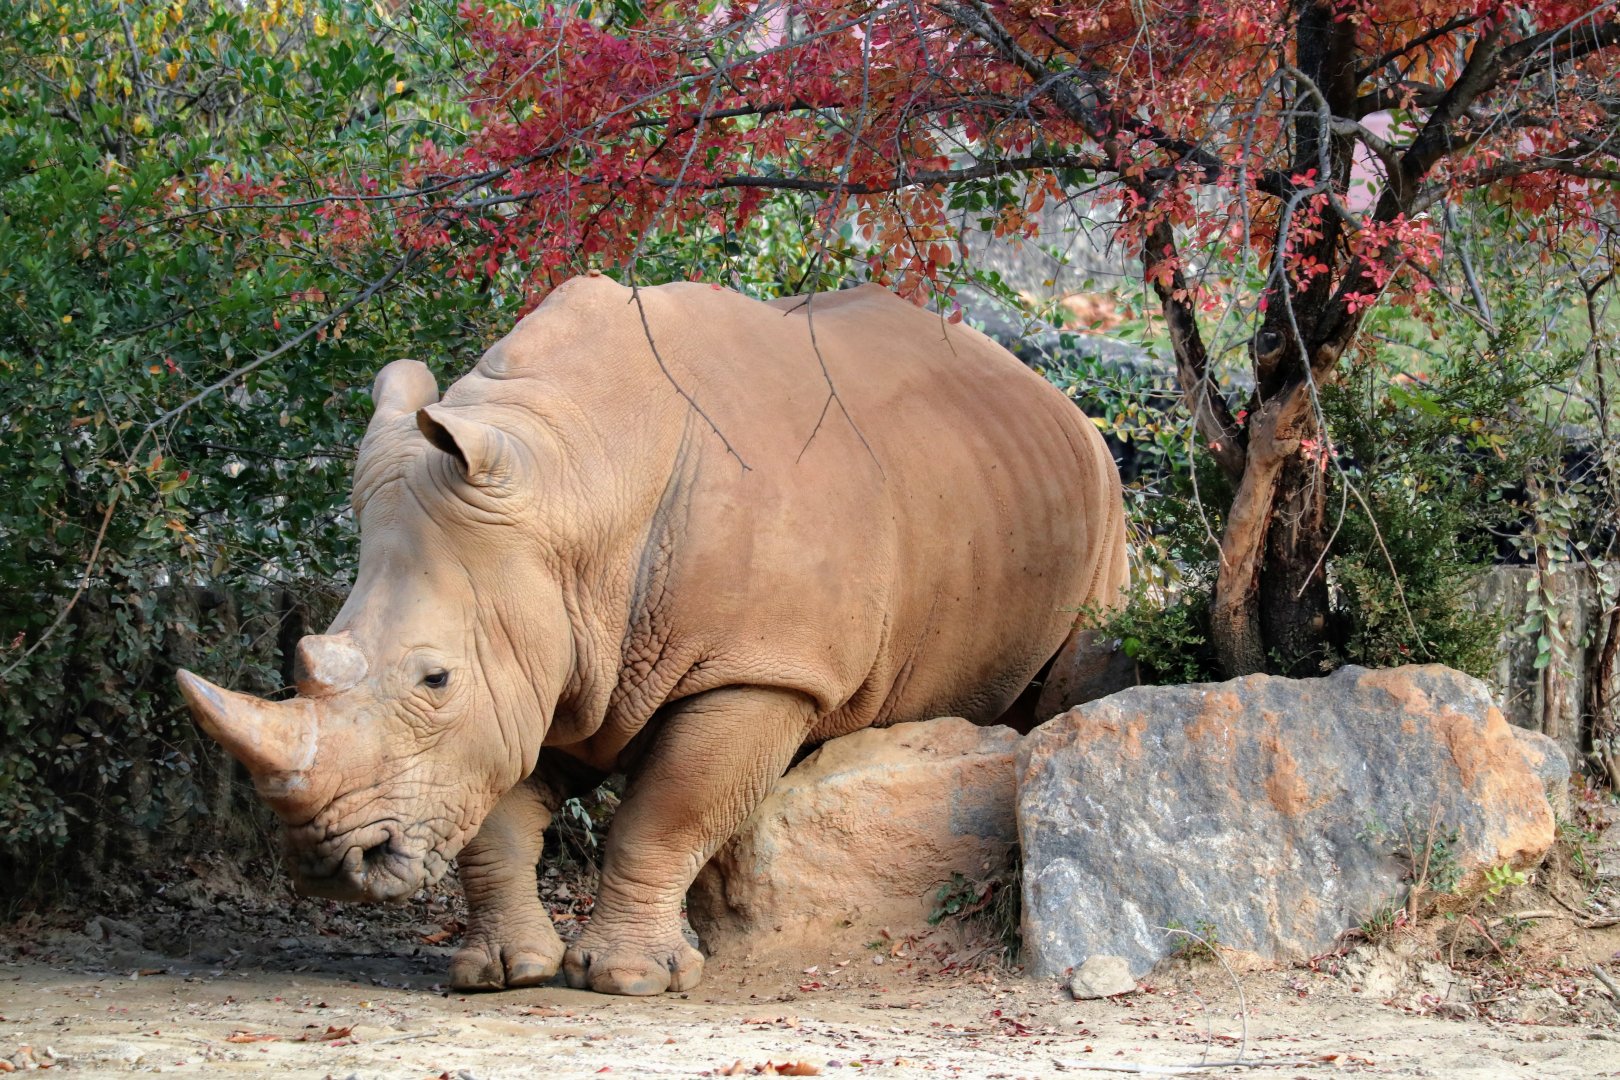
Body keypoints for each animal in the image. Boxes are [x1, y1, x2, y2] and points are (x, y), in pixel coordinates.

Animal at [178, 275, 1127, 996]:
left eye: (434, 680)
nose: (329, 866)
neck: (574, 486)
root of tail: (1052, 395)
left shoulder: (756, 668)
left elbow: (667, 812)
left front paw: (628, 981)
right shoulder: (547, 655)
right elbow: (497, 810)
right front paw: (505, 973)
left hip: (1100, 499)